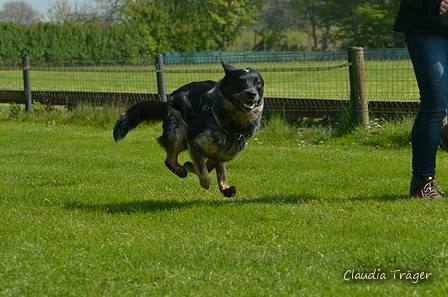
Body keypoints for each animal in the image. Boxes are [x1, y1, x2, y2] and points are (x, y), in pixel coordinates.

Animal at [114, 61, 264, 197]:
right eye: (239, 82)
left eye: (258, 83)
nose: (252, 93)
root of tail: (167, 101)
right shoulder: (194, 142)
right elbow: (204, 173)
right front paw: (197, 173)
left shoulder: (227, 151)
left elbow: (212, 166)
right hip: (178, 131)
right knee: (169, 159)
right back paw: (180, 170)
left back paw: (225, 188)